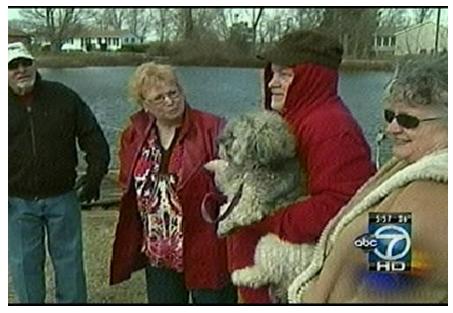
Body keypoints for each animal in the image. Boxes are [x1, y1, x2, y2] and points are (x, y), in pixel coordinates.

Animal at [205, 111, 314, 302]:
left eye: (234, 135)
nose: (218, 142)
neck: (256, 166)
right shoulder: (235, 187)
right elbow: (225, 182)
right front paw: (211, 164)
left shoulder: (249, 206)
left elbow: (231, 212)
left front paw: (222, 227)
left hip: (270, 244)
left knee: (263, 274)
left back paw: (239, 275)